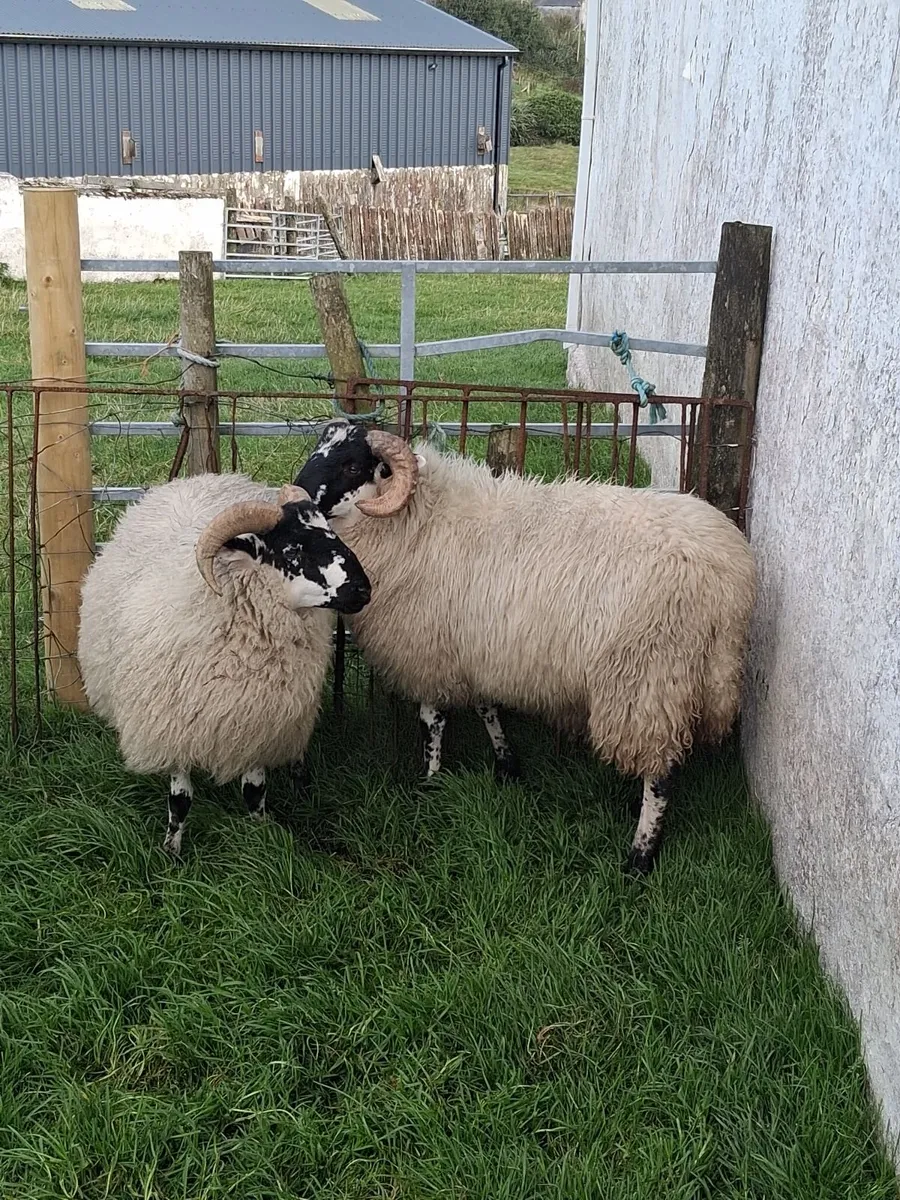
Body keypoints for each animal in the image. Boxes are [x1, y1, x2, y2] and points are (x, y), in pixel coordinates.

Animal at [77, 472, 371, 856]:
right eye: (293, 551)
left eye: (330, 532)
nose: (364, 590)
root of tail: (196, 478)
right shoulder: (174, 728)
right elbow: (180, 800)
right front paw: (172, 851)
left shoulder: (258, 723)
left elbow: (255, 791)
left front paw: (261, 834)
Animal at [294, 422, 756, 873]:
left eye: (353, 466)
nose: (295, 497)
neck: (421, 518)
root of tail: (731, 581)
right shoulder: (476, 648)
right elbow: (486, 707)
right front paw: (506, 765)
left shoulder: (430, 651)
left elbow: (432, 721)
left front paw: (430, 781)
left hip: (650, 679)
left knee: (660, 775)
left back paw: (639, 857)